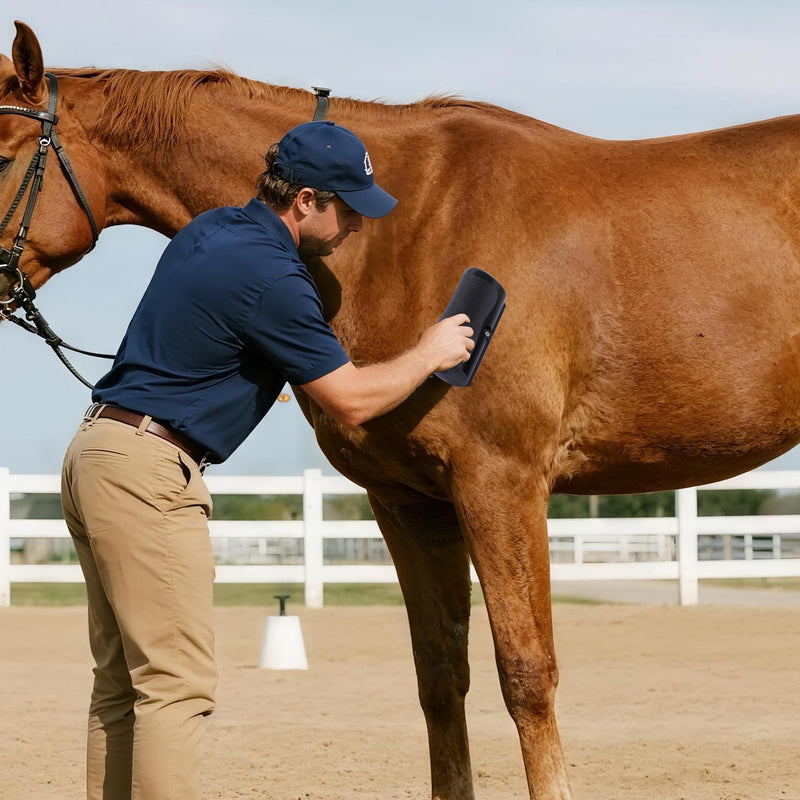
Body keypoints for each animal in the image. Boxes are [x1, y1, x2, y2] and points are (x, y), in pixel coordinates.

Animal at [4, 19, 800, 800]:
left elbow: (526, 674)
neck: (406, 227)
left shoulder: (501, 484)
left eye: (5, 153)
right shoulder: (408, 501)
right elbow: (441, 678)